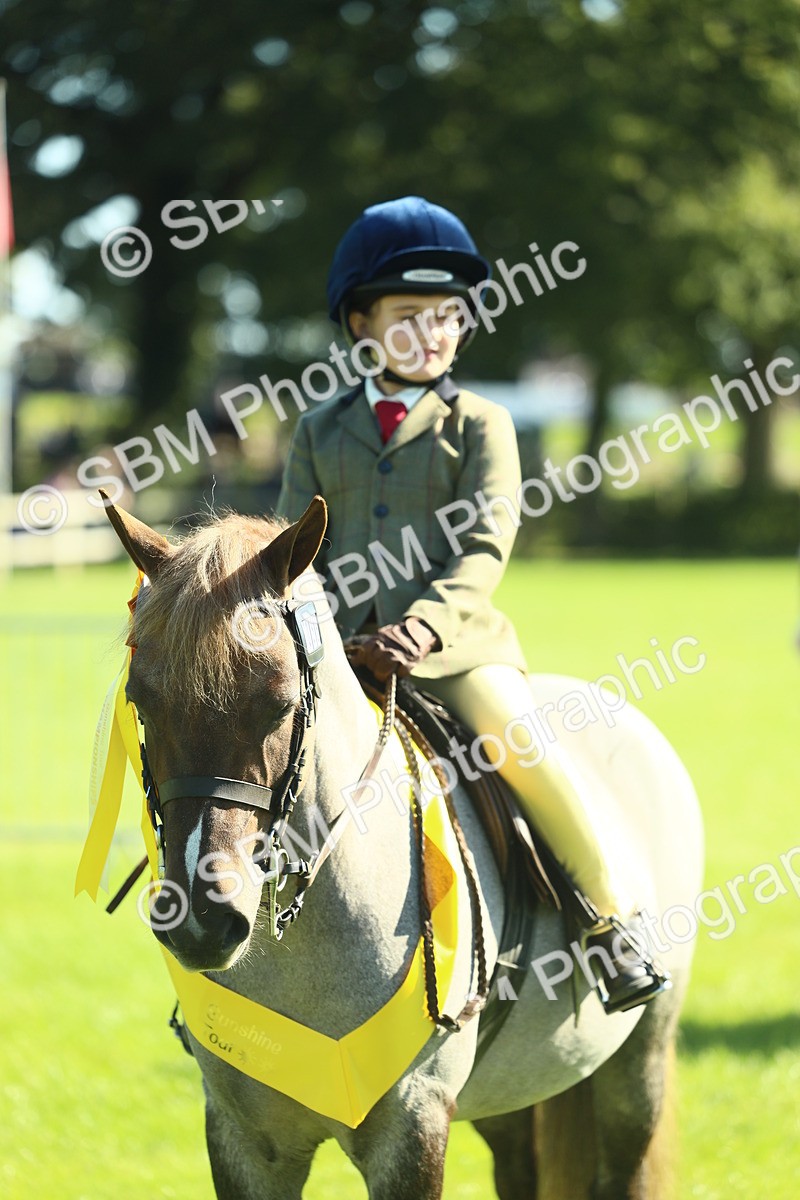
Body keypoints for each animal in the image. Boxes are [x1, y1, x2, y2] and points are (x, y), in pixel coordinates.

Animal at [103, 493, 704, 1200]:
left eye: (279, 704)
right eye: (141, 703)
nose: (201, 921)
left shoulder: (412, 1127)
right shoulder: (242, 1139)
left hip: (638, 1065)